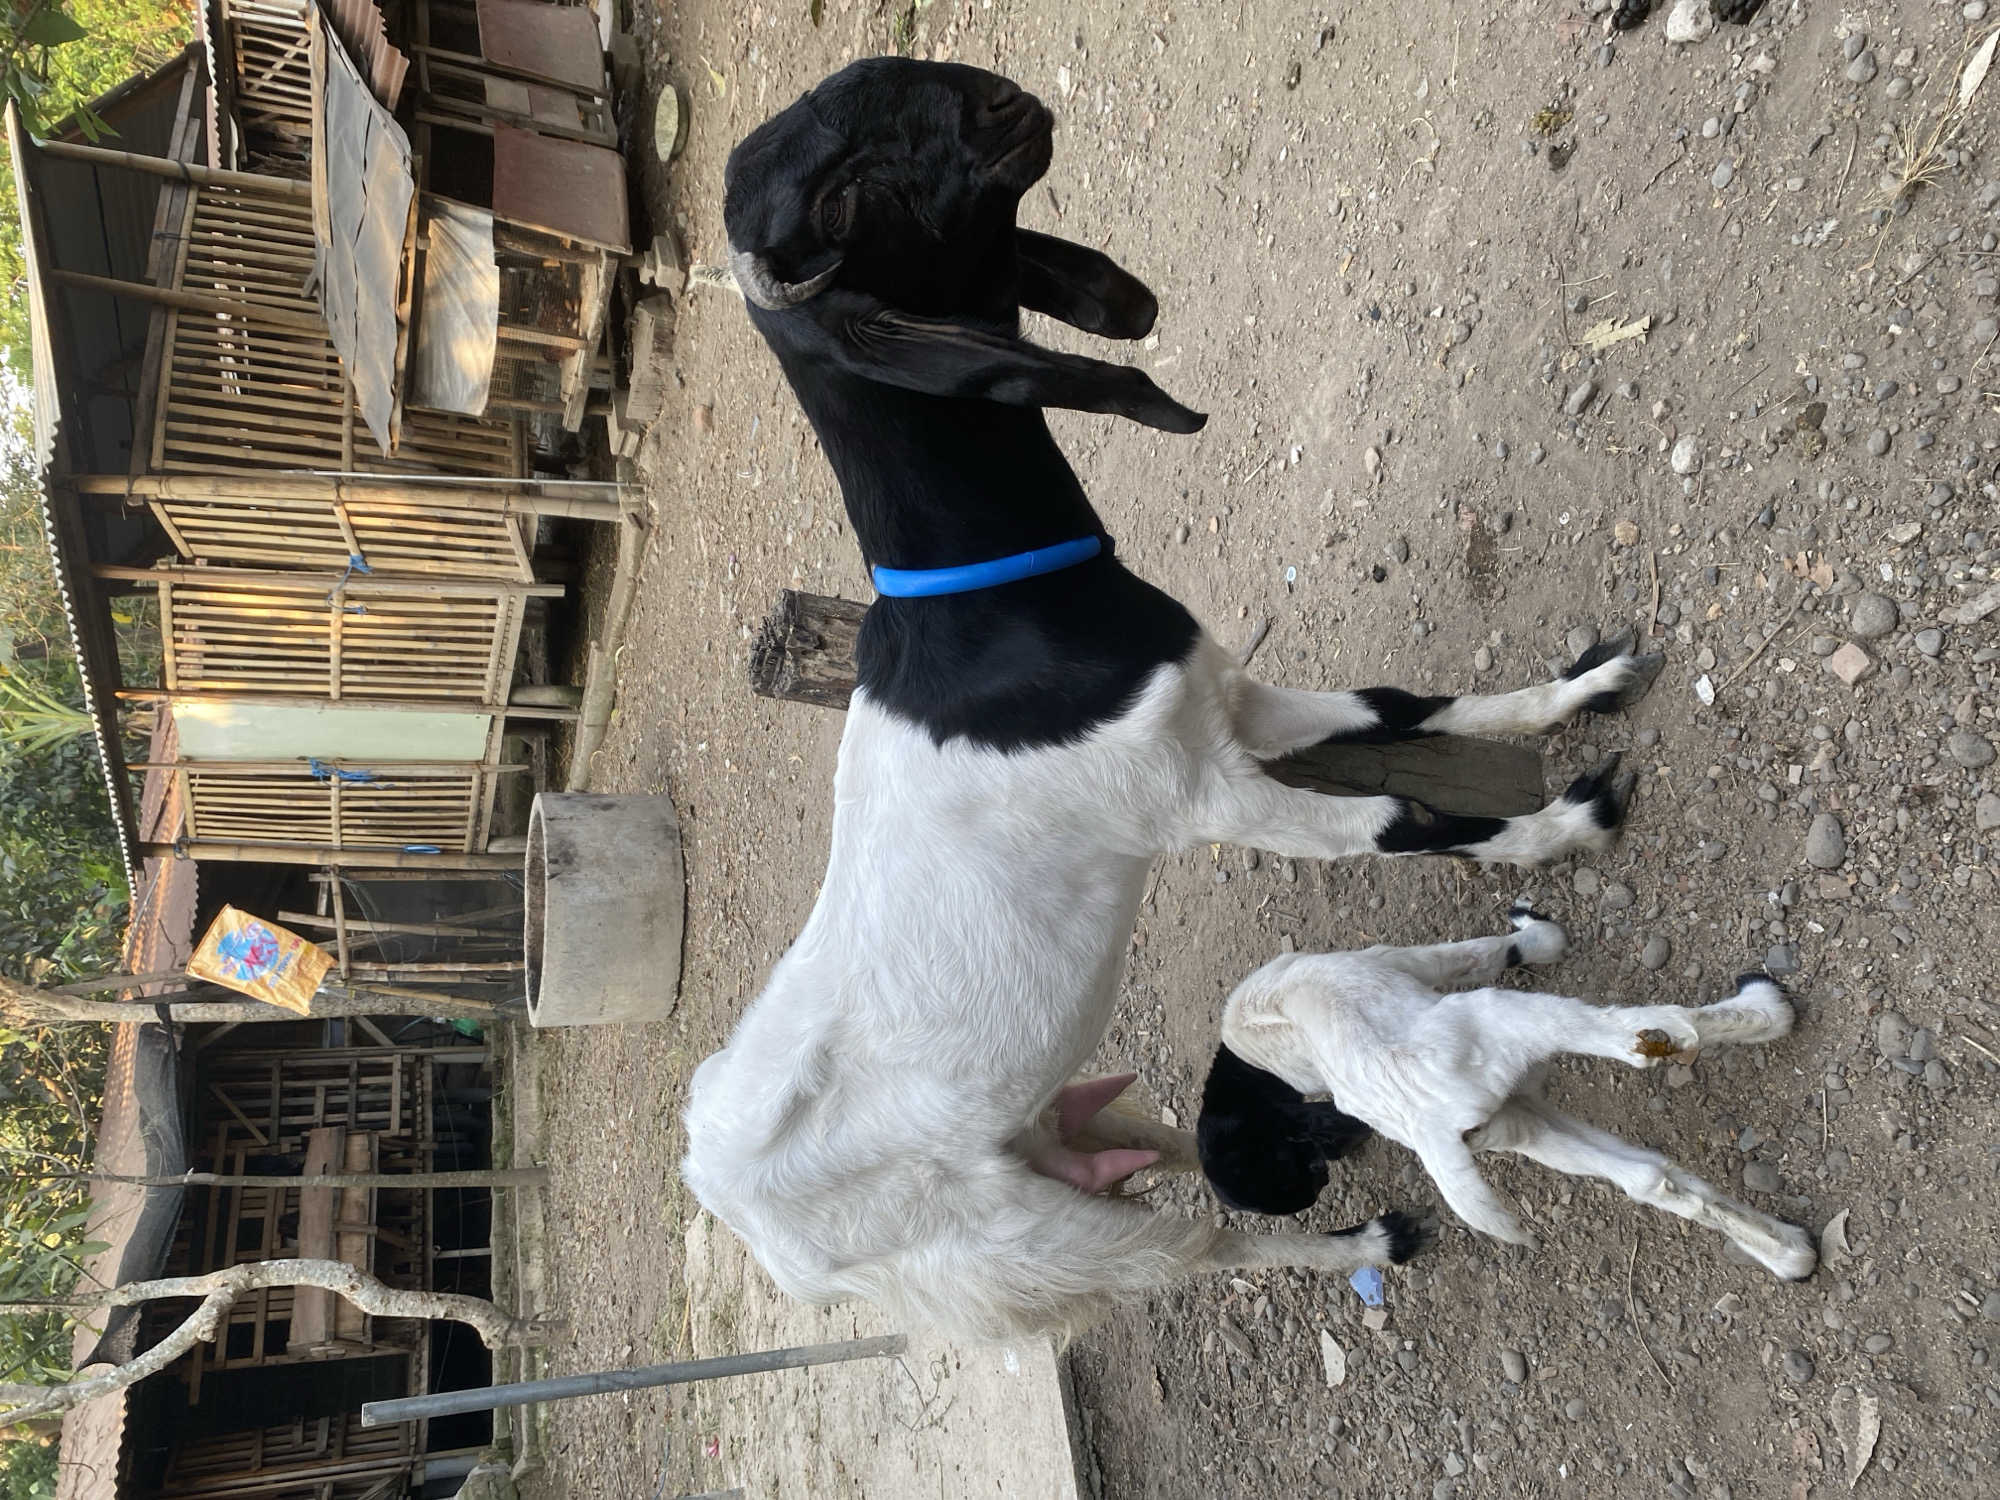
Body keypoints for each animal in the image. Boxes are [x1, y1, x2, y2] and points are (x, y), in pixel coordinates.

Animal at [682, 58, 1667, 1343]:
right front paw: (1565, 825)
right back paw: (1364, 1239)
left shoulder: (1222, 705)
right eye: (839, 205)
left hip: (1055, 1130)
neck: (987, 616)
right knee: (1198, 1248)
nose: (992, 98)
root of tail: (747, 1223)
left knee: (1163, 1146)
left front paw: (1578, 690)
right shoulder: (1201, 797)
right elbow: (1396, 819)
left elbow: (1392, 706)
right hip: (1027, 1244)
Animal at [1199, 910, 1819, 1282]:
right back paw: (1766, 1009)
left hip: (1514, 1123)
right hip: (1517, 1020)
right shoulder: (1394, 958)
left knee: (1646, 1177)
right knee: (1648, 1033)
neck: (1259, 1049)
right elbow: (1475, 953)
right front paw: (1541, 939)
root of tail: (1426, 1119)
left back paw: (1788, 1251)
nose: (1321, 1184)